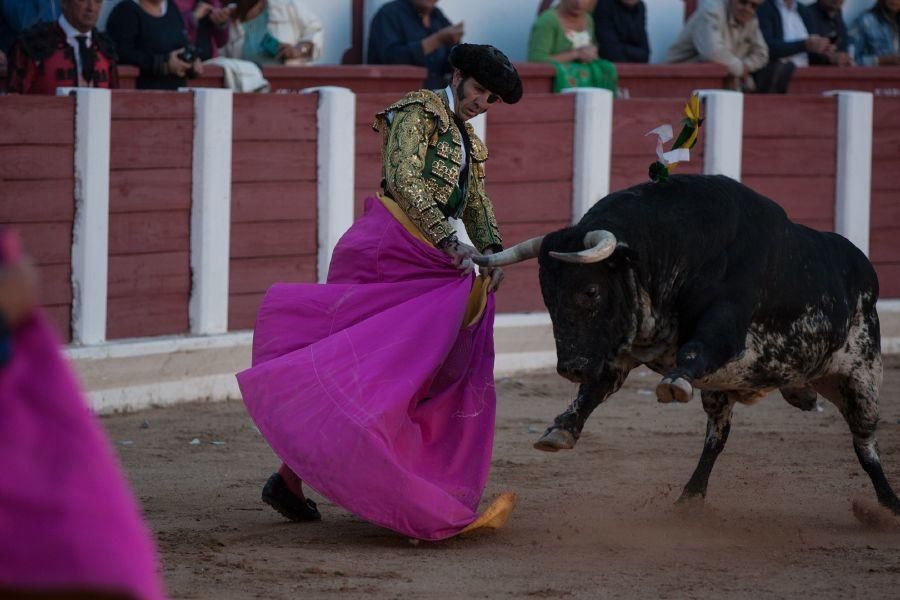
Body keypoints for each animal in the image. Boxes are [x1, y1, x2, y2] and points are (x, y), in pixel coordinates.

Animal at [474, 173, 896, 516]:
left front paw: (674, 383)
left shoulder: (725, 328)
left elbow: (697, 349)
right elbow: (594, 390)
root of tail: (865, 269)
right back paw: (690, 497)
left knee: (865, 444)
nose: (570, 367)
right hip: (727, 392)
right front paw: (560, 430)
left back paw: (889, 506)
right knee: (717, 438)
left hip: (861, 374)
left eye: (590, 290)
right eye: (547, 294)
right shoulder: (620, 347)